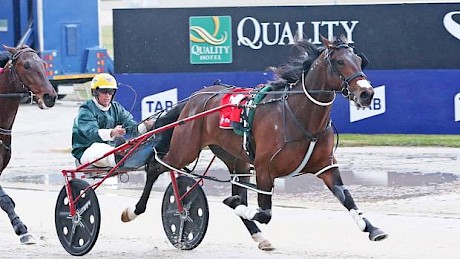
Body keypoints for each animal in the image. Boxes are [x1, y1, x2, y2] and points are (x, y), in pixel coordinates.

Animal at [0, 43, 56, 245]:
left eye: (43, 64)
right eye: (26, 65)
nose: (50, 96)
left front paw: (22, 229)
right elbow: (5, 200)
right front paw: (21, 229)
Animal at [120, 35, 386, 251]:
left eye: (359, 61)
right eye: (339, 62)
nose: (367, 94)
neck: (298, 116)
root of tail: (195, 97)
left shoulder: (326, 165)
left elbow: (346, 197)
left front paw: (373, 229)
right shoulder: (264, 168)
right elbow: (264, 212)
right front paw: (233, 204)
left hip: (235, 158)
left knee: (235, 187)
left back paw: (259, 237)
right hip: (185, 148)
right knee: (157, 167)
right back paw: (135, 211)